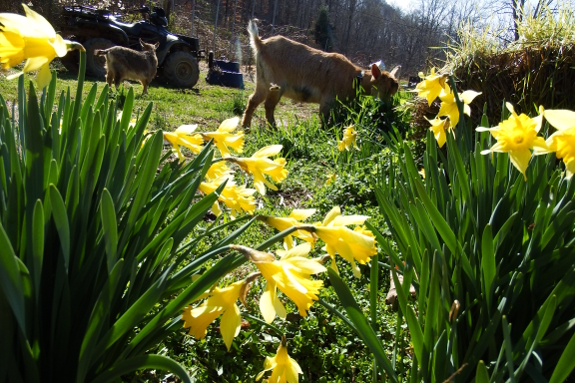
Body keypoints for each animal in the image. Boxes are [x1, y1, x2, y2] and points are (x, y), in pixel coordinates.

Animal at [241, 20, 398, 128]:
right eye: (383, 89)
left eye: (394, 92)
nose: (387, 108)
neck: (353, 78)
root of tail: (260, 43)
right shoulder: (328, 100)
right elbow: (324, 119)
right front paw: (325, 133)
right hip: (276, 83)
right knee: (268, 105)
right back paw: (274, 129)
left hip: (262, 79)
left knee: (253, 100)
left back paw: (246, 127)